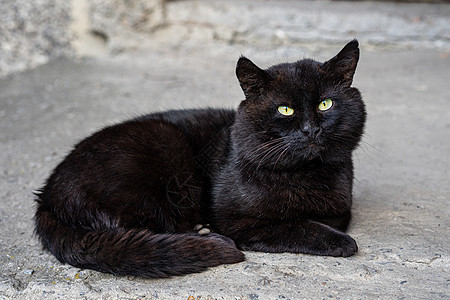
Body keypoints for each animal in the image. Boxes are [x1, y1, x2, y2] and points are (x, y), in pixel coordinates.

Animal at [34, 40, 366, 278]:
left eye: (325, 104)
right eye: (285, 110)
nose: (311, 129)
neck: (304, 175)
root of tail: (47, 196)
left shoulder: (341, 204)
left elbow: (332, 217)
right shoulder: (237, 222)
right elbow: (295, 225)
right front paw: (340, 242)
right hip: (160, 145)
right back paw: (202, 234)